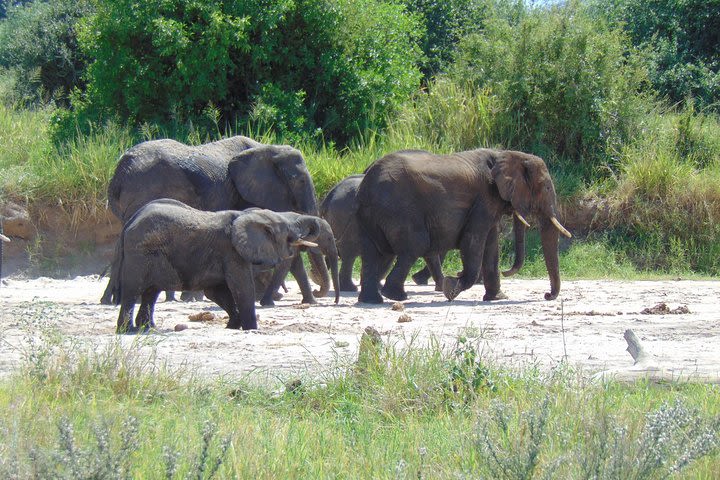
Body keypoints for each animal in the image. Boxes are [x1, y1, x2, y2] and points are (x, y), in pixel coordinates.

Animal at [100, 136, 330, 304]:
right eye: (300, 181)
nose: (319, 291)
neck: (268, 148)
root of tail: (119, 173)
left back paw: (112, 299)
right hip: (145, 191)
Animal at [114, 197, 320, 332]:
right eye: (288, 232)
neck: (246, 215)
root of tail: (130, 221)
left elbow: (217, 292)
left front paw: (233, 326)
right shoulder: (231, 251)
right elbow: (243, 288)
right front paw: (251, 329)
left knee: (151, 292)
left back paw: (148, 329)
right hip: (141, 254)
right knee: (133, 290)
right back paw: (128, 331)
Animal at [358, 148, 572, 304]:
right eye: (546, 187)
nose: (547, 296)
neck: (507, 154)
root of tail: (367, 179)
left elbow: (491, 246)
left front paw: (496, 298)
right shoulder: (483, 199)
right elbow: (473, 240)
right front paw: (450, 288)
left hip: (371, 213)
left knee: (374, 253)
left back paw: (372, 300)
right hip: (399, 209)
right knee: (416, 245)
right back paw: (397, 297)